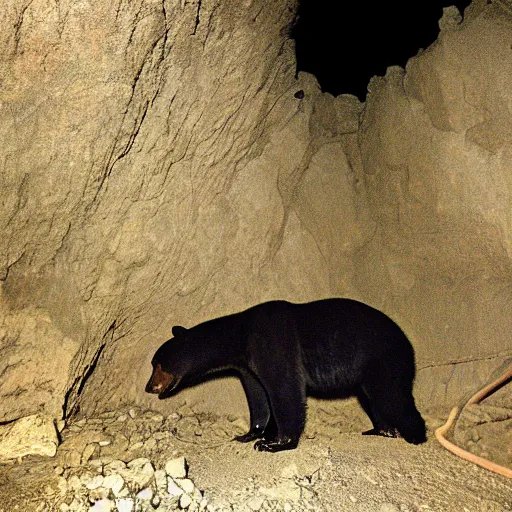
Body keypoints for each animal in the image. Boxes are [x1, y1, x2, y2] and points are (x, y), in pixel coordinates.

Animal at [146, 300, 426, 452]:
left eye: (156, 363)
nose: (149, 387)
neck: (239, 336)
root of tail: (408, 342)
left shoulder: (271, 344)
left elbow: (285, 390)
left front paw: (276, 443)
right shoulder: (247, 366)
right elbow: (258, 397)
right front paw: (251, 434)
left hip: (383, 359)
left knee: (393, 397)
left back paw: (415, 436)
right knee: (375, 401)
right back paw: (380, 430)